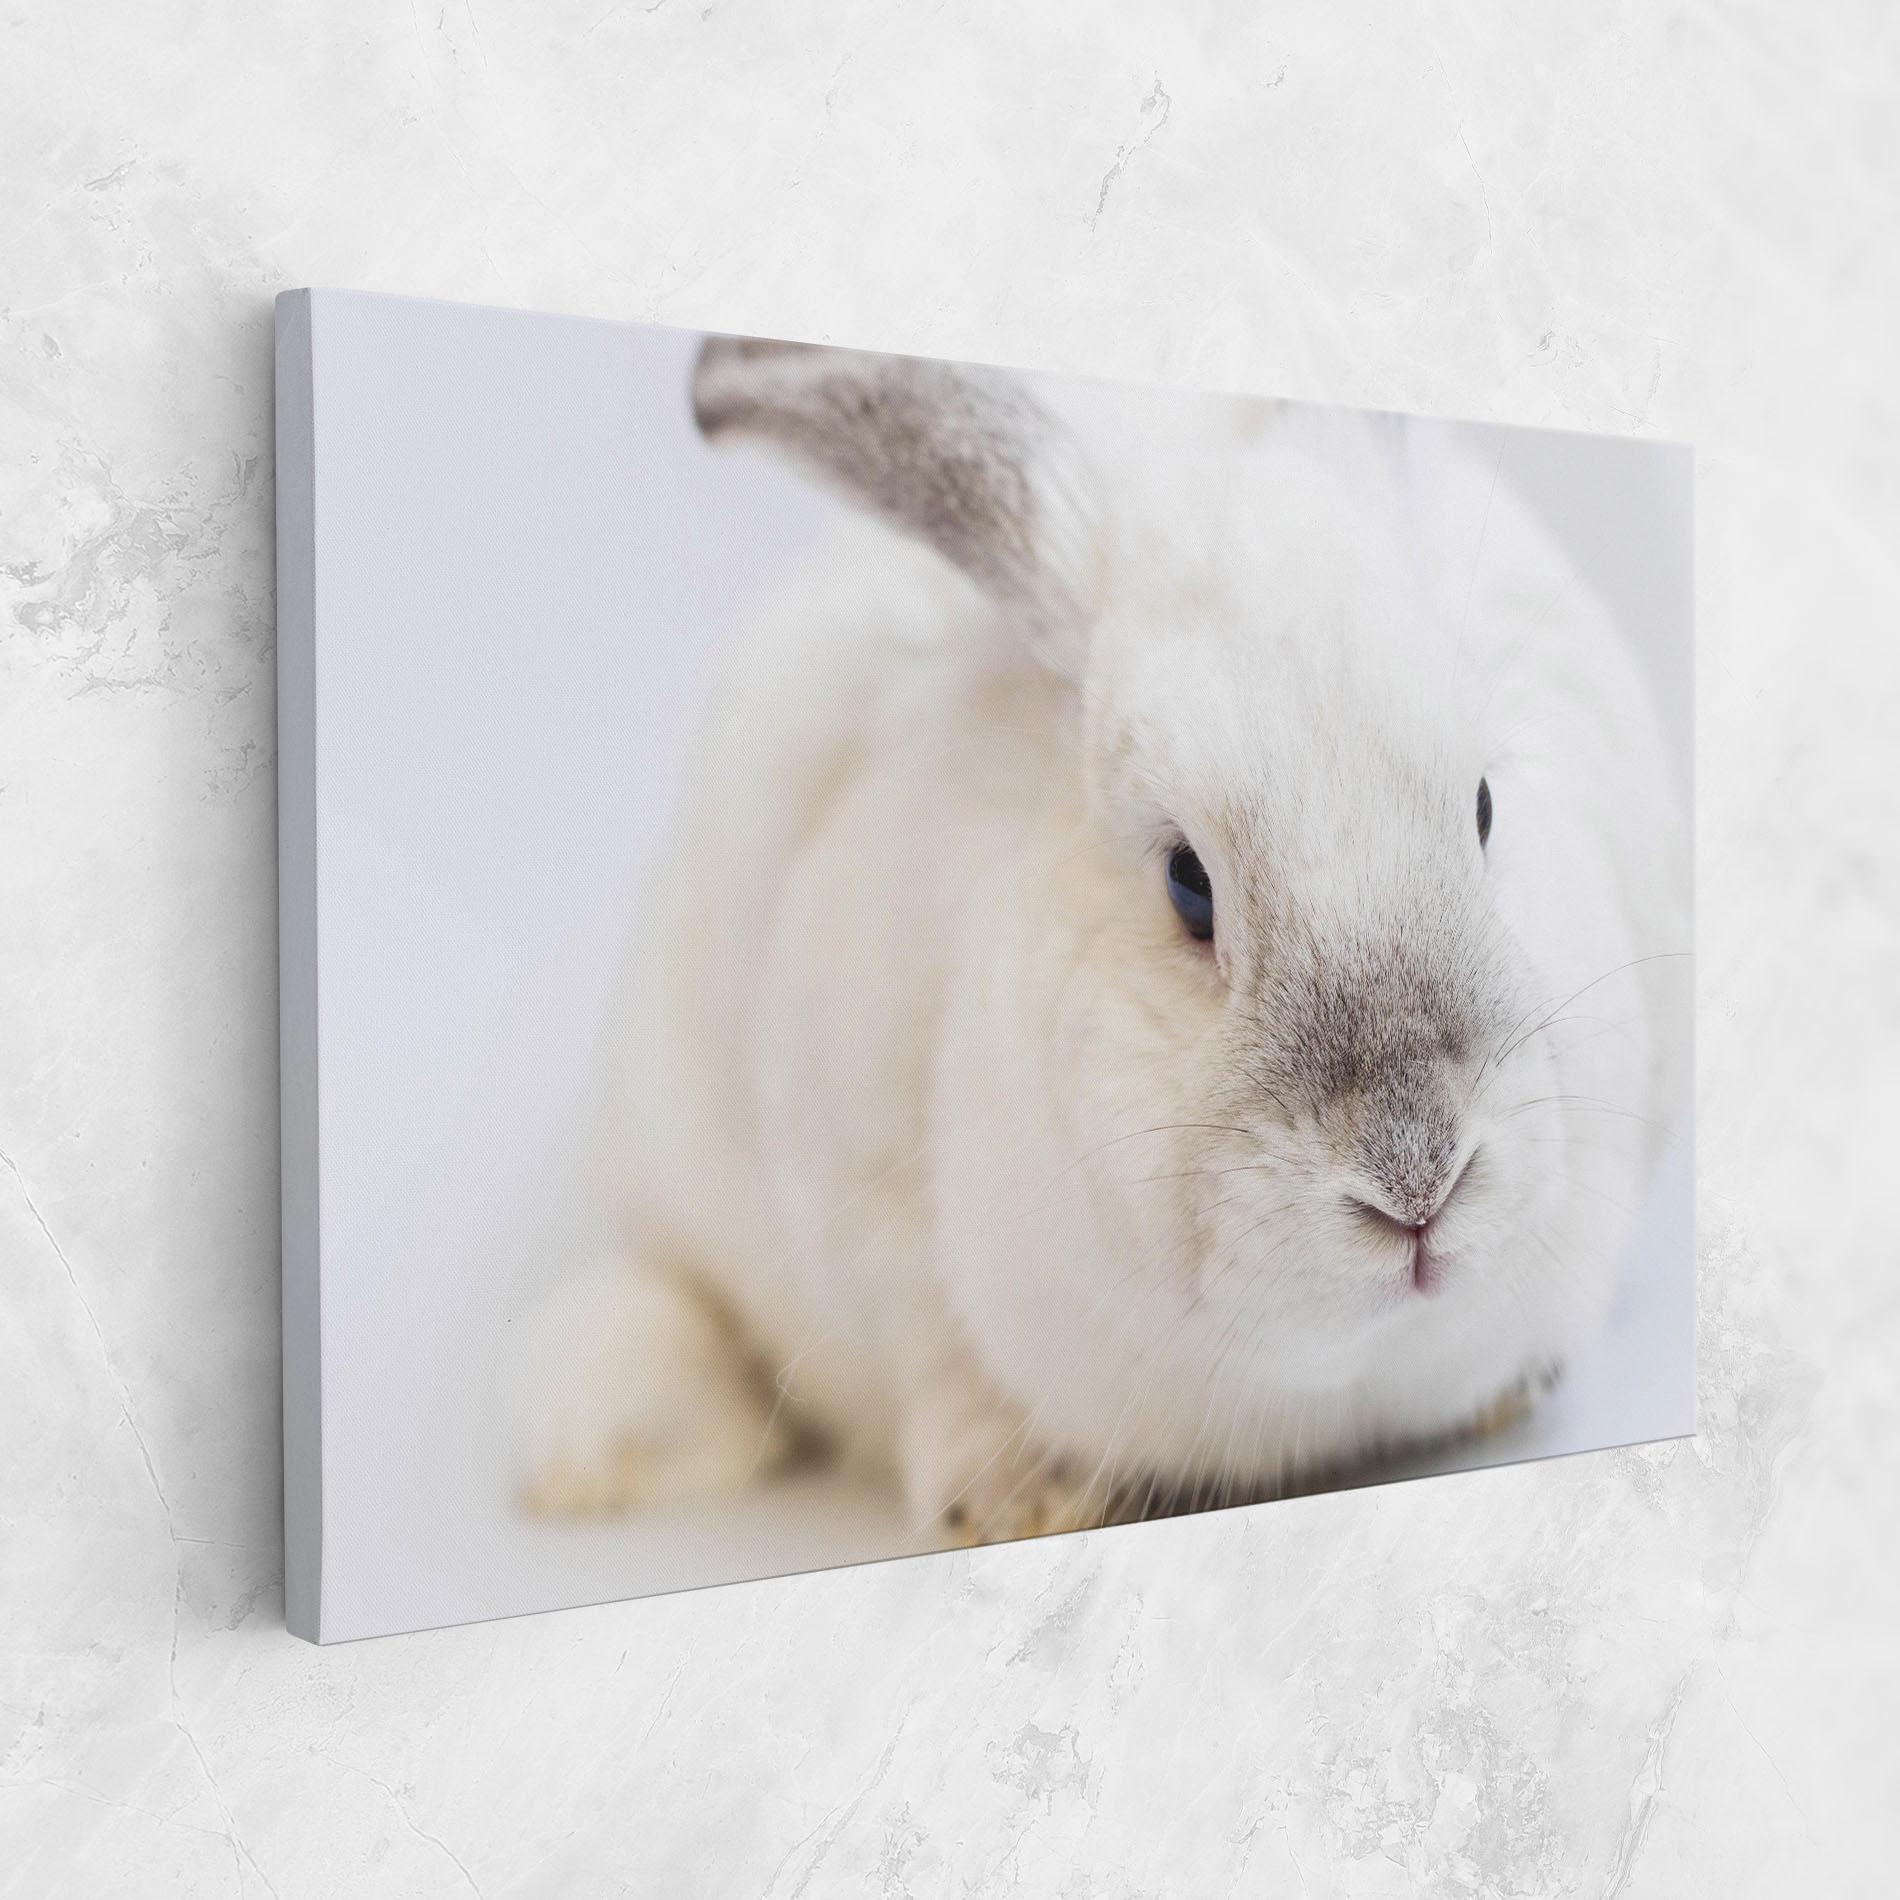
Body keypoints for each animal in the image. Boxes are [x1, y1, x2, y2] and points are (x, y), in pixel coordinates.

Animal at [515, 334, 1688, 1548]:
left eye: (1485, 807)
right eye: (1187, 884)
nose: (1417, 1180)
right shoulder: (860, 1188)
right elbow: (937, 1360)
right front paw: (1020, 1502)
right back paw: (599, 1451)